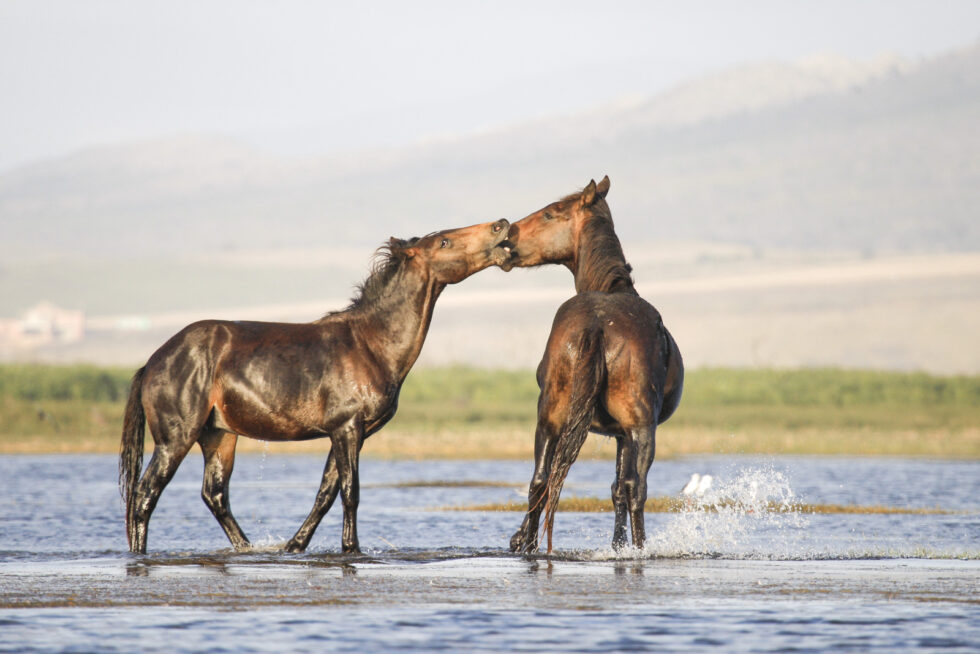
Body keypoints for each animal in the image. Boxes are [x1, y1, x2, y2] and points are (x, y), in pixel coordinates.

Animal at [119, 218, 510, 554]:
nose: (501, 226)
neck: (371, 343)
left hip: (219, 435)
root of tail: (153, 361)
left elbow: (326, 492)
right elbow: (350, 491)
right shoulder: (347, 427)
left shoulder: (350, 432)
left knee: (213, 495)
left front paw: (295, 546)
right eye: (444, 242)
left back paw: (248, 548)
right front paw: (351, 548)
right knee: (145, 494)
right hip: (176, 437)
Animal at [494, 176, 683, 553]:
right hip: (640, 428)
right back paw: (638, 548)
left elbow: (613, 489)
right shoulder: (626, 433)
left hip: (550, 419)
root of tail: (597, 324)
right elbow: (621, 489)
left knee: (541, 481)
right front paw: (619, 545)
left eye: (550, 213)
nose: (508, 236)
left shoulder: (618, 433)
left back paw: (528, 542)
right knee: (636, 490)